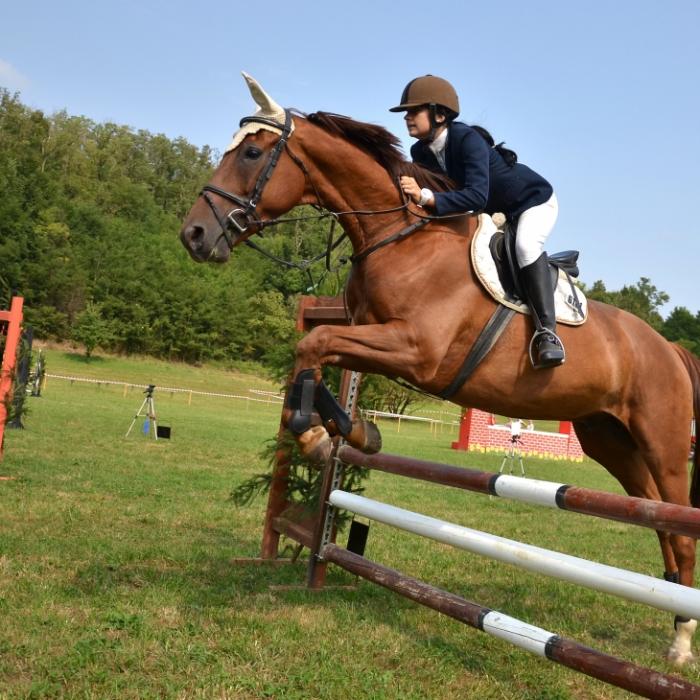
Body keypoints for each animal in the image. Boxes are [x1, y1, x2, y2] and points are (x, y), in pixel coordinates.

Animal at [180, 74, 700, 666]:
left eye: (250, 153)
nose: (194, 235)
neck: (399, 237)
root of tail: (668, 347)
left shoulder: (414, 351)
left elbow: (316, 342)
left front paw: (316, 436)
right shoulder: (374, 339)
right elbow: (315, 352)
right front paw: (352, 431)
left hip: (661, 441)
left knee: (680, 524)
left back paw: (681, 643)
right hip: (611, 440)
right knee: (657, 518)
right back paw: (673, 615)